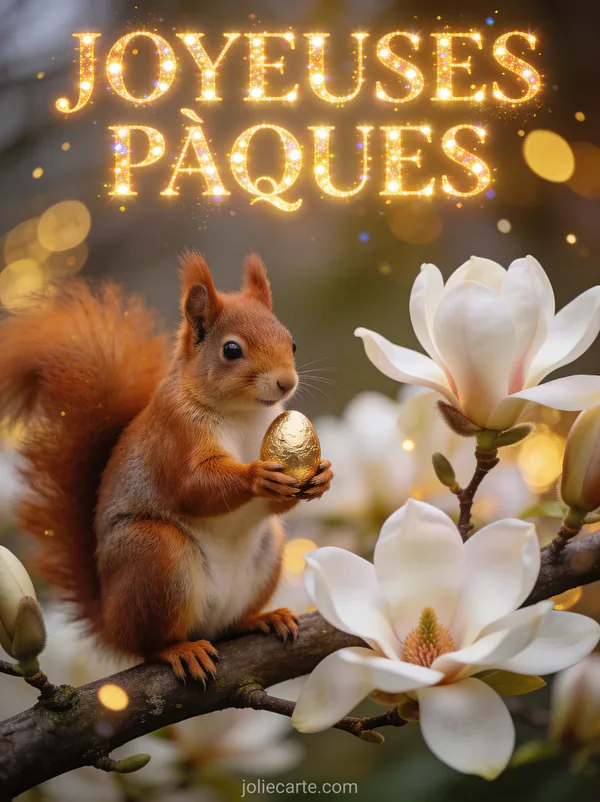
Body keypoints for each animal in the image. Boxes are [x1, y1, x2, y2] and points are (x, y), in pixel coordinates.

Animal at [0, 252, 333, 681]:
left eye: (291, 341)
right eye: (231, 350)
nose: (285, 382)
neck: (242, 414)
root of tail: (109, 622)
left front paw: (322, 474)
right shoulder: (174, 437)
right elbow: (193, 488)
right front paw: (256, 476)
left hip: (266, 553)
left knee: (228, 625)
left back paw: (261, 618)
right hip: (156, 556)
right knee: (148, 643)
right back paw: (179, 650)